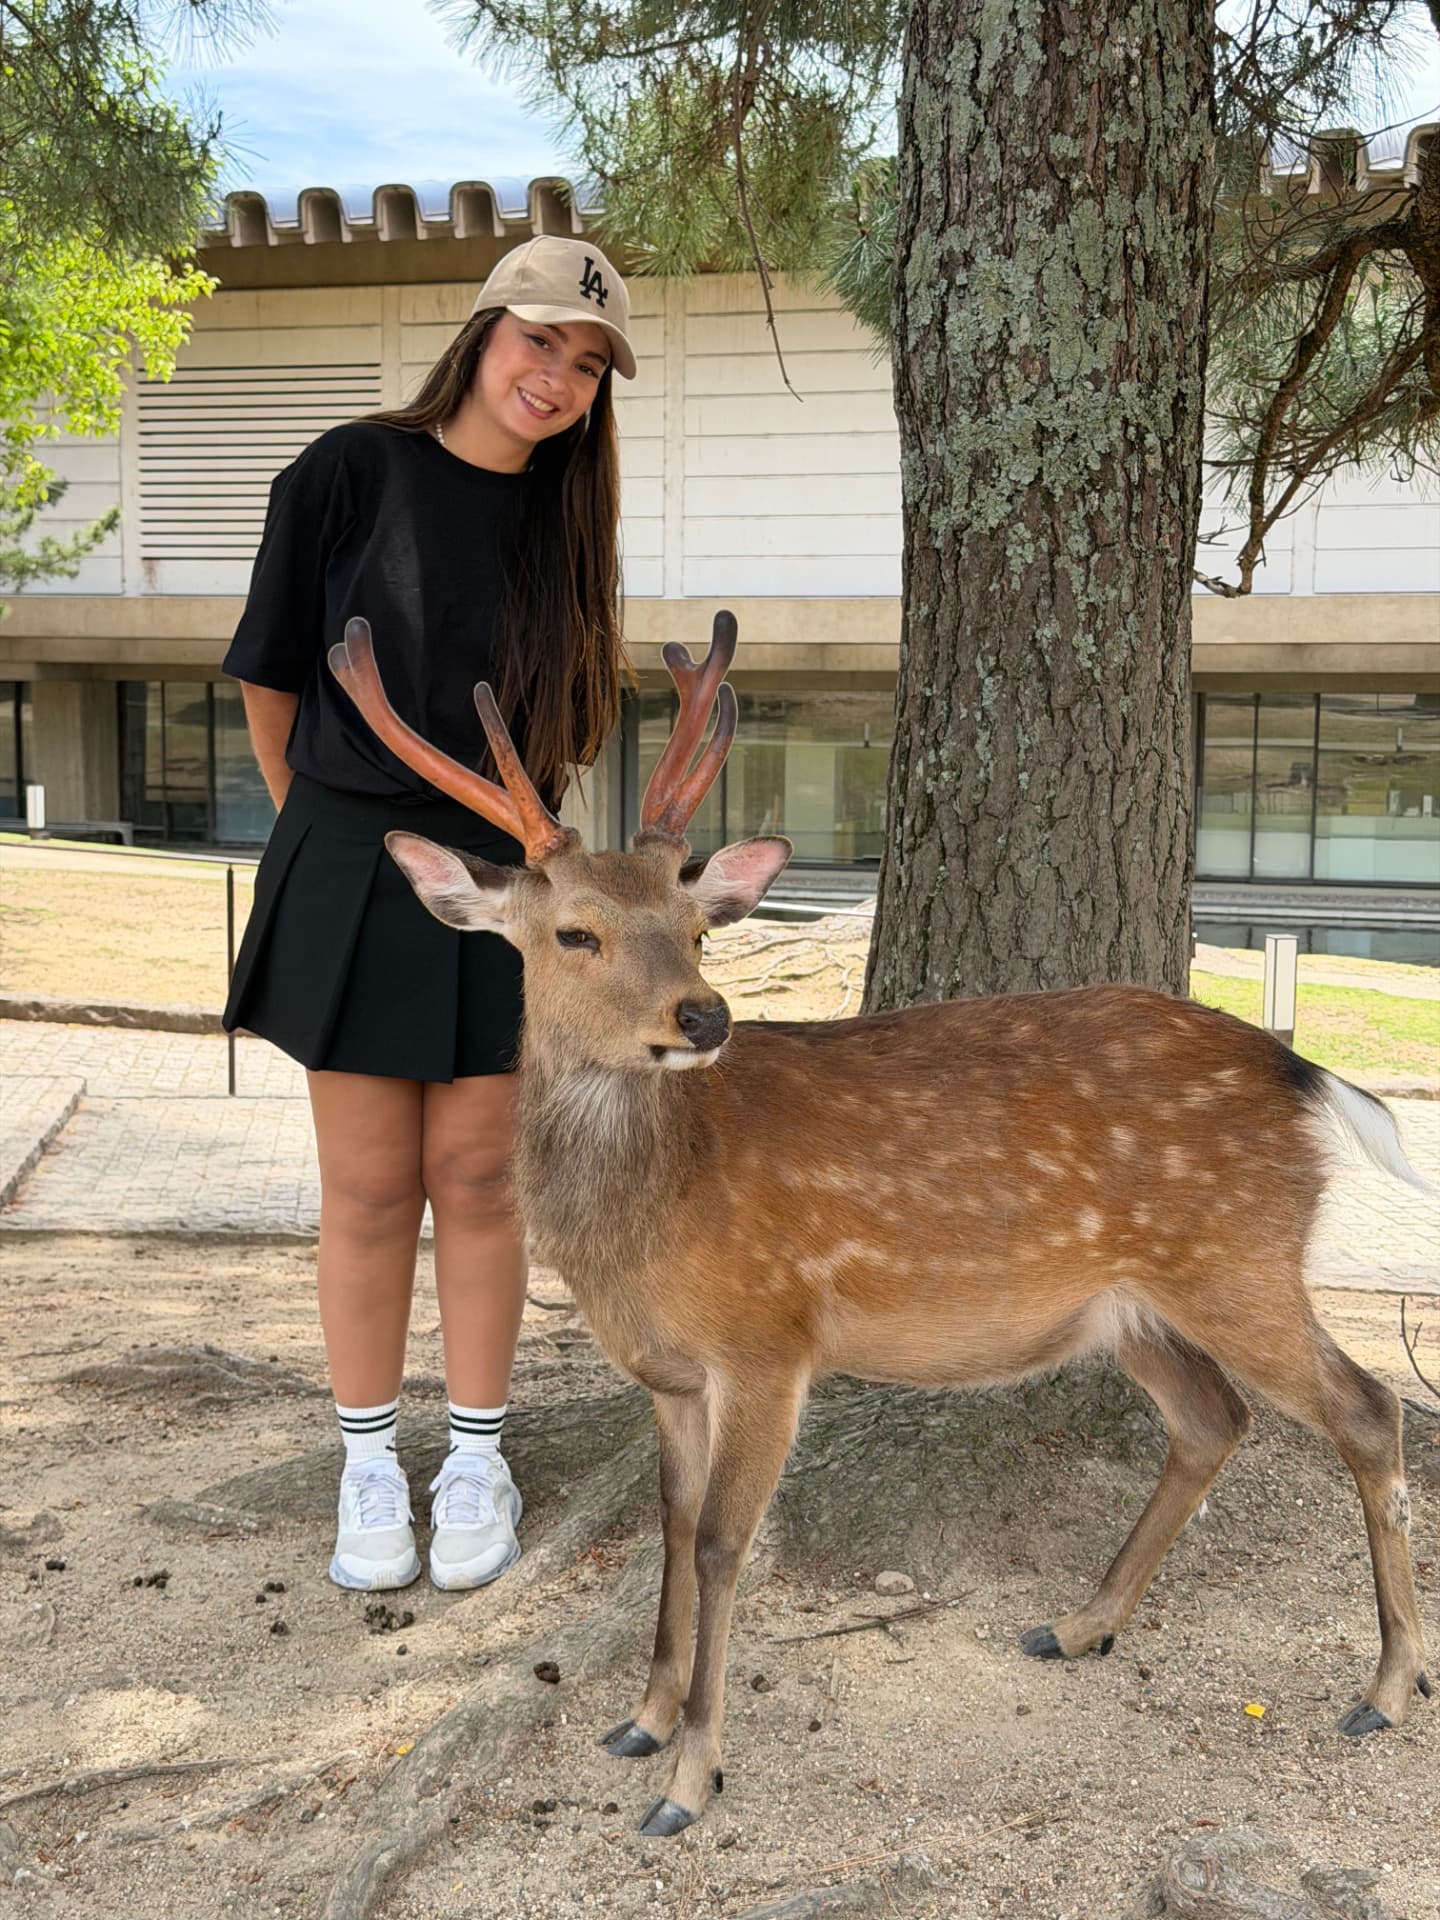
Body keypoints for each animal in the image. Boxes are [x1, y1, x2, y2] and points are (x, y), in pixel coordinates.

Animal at [329, 610, 1430, 1840]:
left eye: (696, 927)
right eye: (575, 933)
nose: (704, 1017)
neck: (649, 1233)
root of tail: (1305, 1071)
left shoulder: (769, 1338)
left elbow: (722, 1542)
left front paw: (687, 1778)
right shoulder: (672, 1374)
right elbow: (668, 1523)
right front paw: (641, 1721)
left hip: (1238, 1257)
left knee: (1367, 1406)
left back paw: (1386, 1685)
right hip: (1131, 1302)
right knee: (1213, 1419)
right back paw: (1079, 1623)